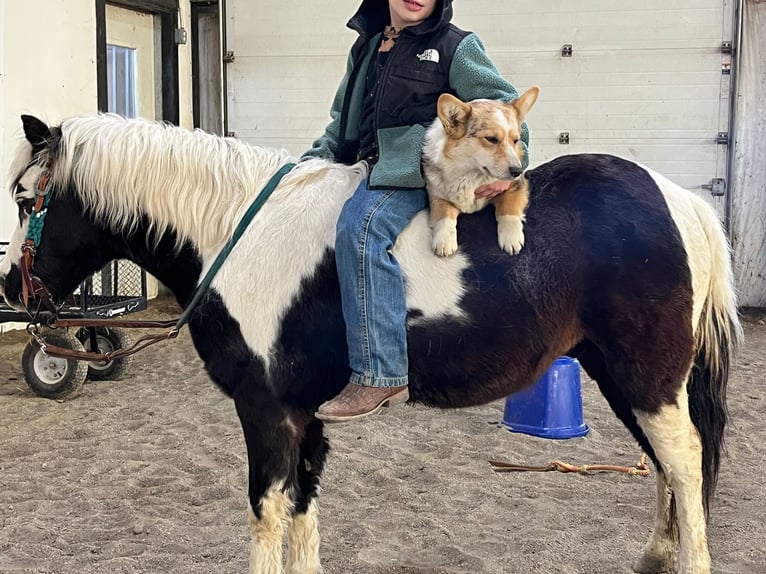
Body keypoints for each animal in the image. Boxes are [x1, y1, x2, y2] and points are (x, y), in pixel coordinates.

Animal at [0, 113, 742, 574]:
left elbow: (268, 515)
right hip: (625, 378)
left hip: (647, 379)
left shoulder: (266, 411)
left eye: (23, 199)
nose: (14, 288)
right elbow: (302, 512)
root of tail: (679, 200)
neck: (240, 233)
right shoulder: (304, 415)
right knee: (668, 467)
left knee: (683, 464)